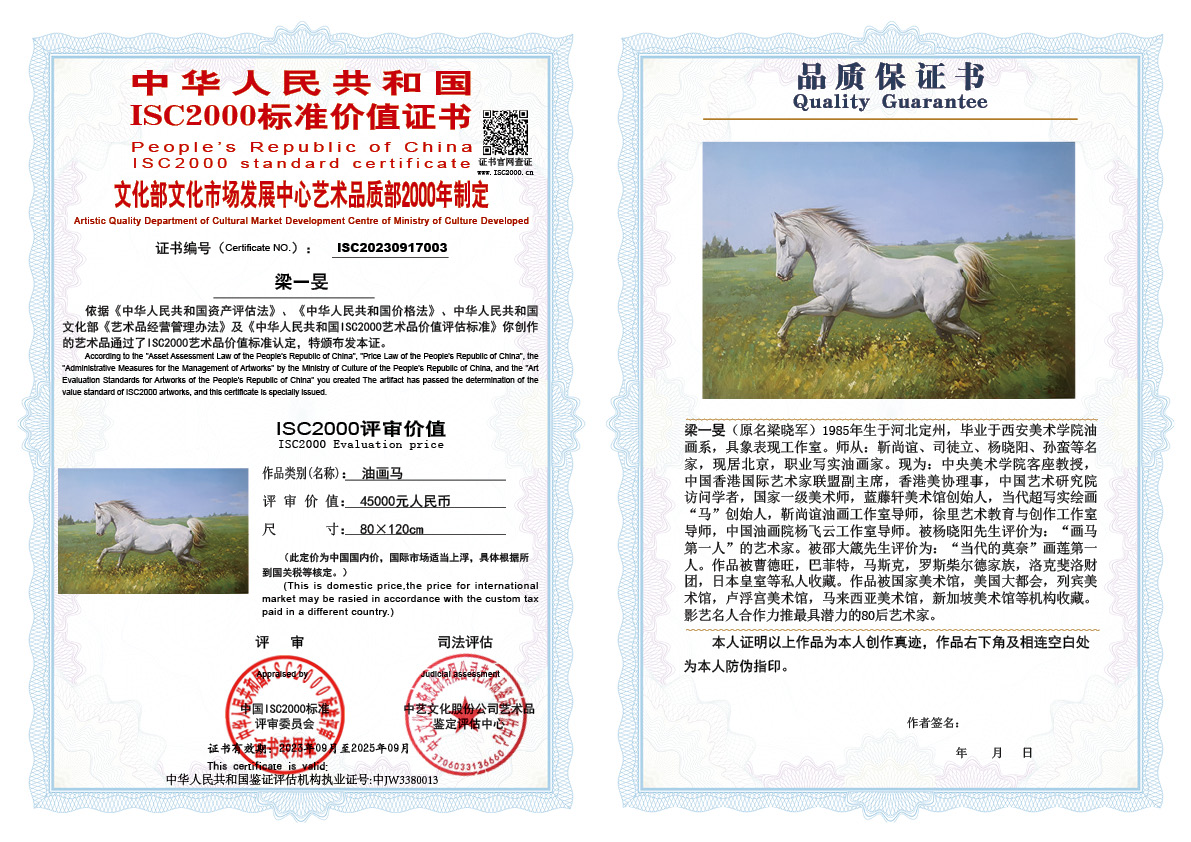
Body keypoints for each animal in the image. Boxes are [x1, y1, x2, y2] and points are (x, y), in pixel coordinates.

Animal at [771, 208, 995, 349]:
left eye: (782, 241)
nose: (781, 275)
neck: (839, 258)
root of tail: (957, 267)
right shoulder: (831, 310)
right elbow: (821, 339)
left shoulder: (830, 303)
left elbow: (794, 310)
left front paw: (782, 342)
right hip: (945, 321)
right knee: (960, 342)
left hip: (941, 319)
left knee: (975, 336)